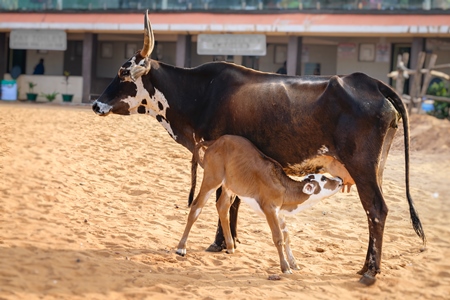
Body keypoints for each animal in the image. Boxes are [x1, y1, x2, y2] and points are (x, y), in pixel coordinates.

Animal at [177, 135, 344, 276]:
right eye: (323, 178)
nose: (340, 179)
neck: (284, 188)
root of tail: (215, 141)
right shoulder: (270, 209)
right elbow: (278, 238)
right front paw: (285, 268)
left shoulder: (279, 213)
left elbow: (287, 237)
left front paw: (294, 263)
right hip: (212, 178)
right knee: (196, 207)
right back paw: (181, 248)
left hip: (230, 185)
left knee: (222, 207)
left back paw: (230, 246)